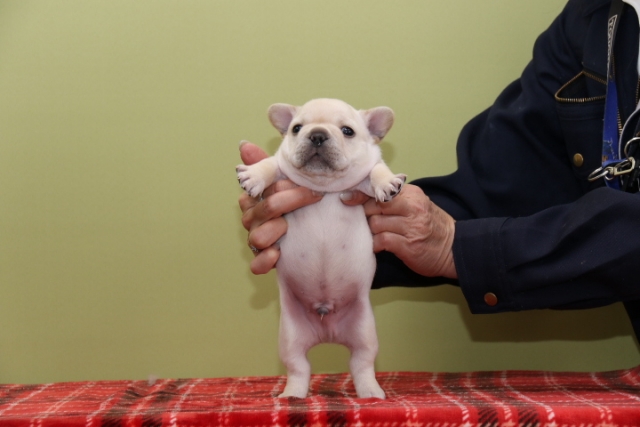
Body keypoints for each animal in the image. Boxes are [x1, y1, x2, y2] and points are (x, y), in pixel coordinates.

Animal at [236, 98, 405, 399]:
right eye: (296, 128)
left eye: (348, 131)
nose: (316, 134)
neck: (325, 188)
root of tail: (327, 330)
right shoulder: (282, 167)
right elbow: (270, 163)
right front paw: (254, 175)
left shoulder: (365, 176)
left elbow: (377, 169)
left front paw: (387, 183)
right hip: (290, 338)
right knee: (298, 367)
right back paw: (292, 396)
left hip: (365, 334)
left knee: (362, 364)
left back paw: (371, 393)